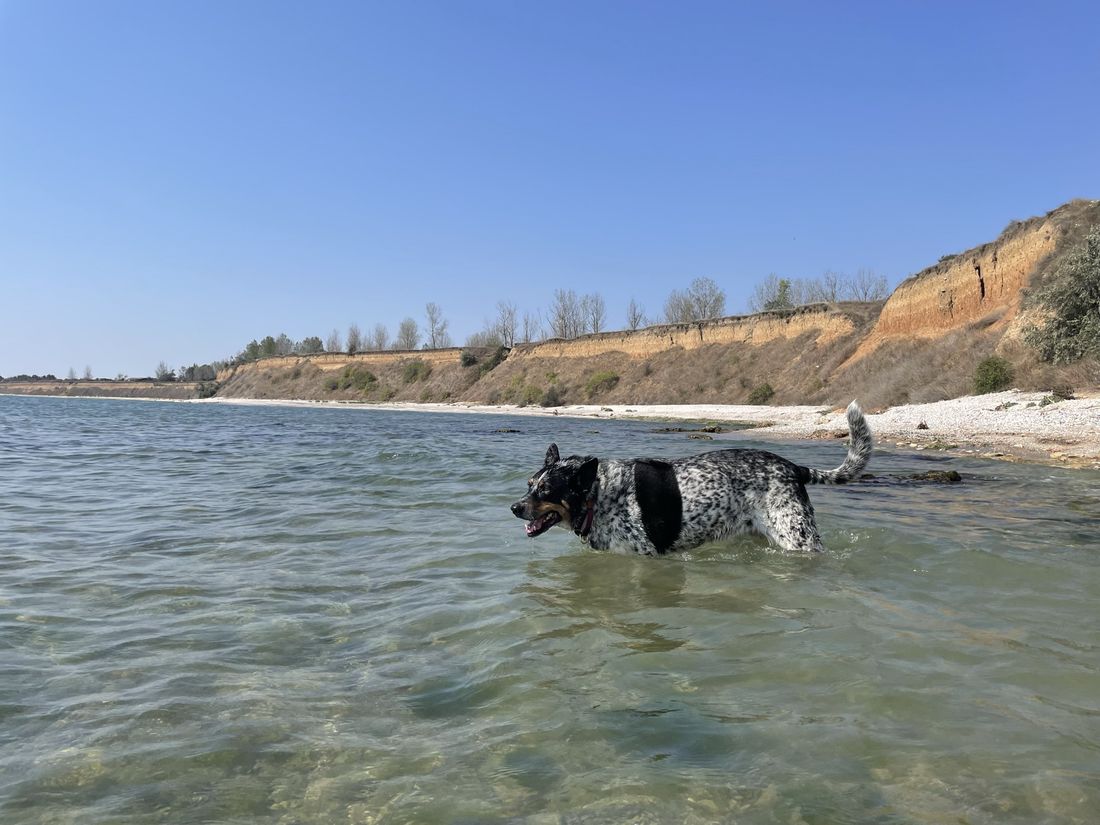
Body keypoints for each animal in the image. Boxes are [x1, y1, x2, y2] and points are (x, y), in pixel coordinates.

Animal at [510, 402, 871, 556]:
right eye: (529, 485)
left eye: (546, 489)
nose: (514, 507)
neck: (598, 495)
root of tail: (793, 466)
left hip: (798, 539)